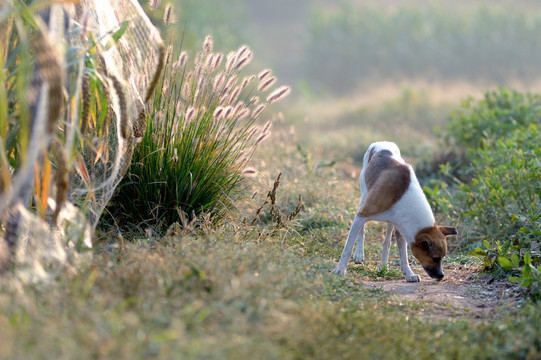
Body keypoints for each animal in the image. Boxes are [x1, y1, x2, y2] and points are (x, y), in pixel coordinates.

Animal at [334, 142, 456, 282]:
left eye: (442, 257)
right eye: (435, 258)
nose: (441, 276)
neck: (402, 196)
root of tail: (381, 142)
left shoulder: (401, 227)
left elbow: (403, 256)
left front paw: (409, 273)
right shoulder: (362, 215)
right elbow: (348, 247)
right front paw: (340, 269)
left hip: (391, 222)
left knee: (386, 241)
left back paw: (383, 264)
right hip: (363, 197)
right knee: (362, 230)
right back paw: (359, 254)